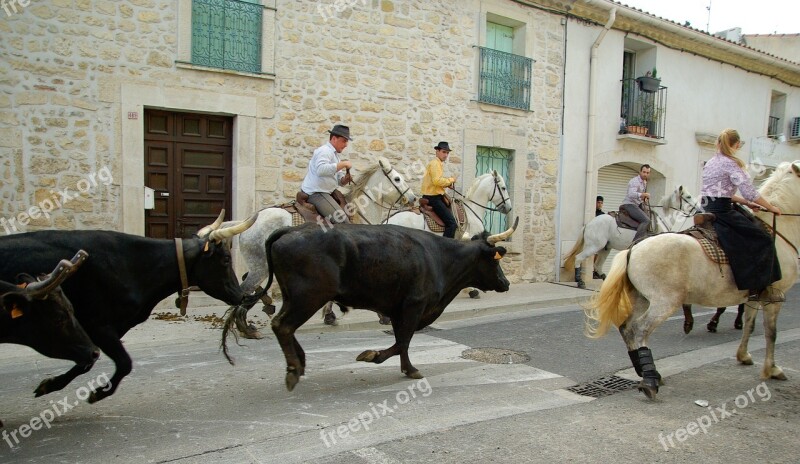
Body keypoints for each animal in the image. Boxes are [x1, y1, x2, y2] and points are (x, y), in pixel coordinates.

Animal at [0, 213, 255, 402]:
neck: (136, 264)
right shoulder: (97, 325)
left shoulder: (103, 328)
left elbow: (87, 360)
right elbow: (123, 363)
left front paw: (50, 384)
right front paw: (98, 393)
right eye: (225, 260)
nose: (241, 295)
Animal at [222, 218, 520, 392]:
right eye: (494, 260)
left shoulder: (400, 310)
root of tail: (290, 229)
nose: (506, 283)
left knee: (284, 325)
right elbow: (402, 341)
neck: (440, 258)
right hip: (309, 296)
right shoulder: (413, 306)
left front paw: (406, 368)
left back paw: (300, 361)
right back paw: (294, 369)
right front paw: (376, 357)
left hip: (295, 296)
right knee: (282, 325)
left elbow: (402, 342)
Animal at [225, 158, 412, 336]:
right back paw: (246, 328)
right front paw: (383, 316)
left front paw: (329, 315)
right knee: (244, 289)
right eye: (397, 178)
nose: (412, 198)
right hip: (260, 266)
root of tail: (248, 221)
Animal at [564, 186, 700, 288]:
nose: (698, 210)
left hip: (605, 249)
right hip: (594, 246)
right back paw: (580, 282)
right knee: (579, 258)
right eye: (688, 196)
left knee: (598, 266)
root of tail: (589, 224)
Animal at [584, 162, 800, 398]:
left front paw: (744, 356)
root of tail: (634, 248)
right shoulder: (774, 296)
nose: (696, 209)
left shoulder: (755, 295)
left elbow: (749, 326)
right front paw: (772, 368)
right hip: (663, 301)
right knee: (640, 329)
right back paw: (650, 380)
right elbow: (771, 333)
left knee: (627, 327)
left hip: (641, 297)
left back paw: (648, 372)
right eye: (686, 196)